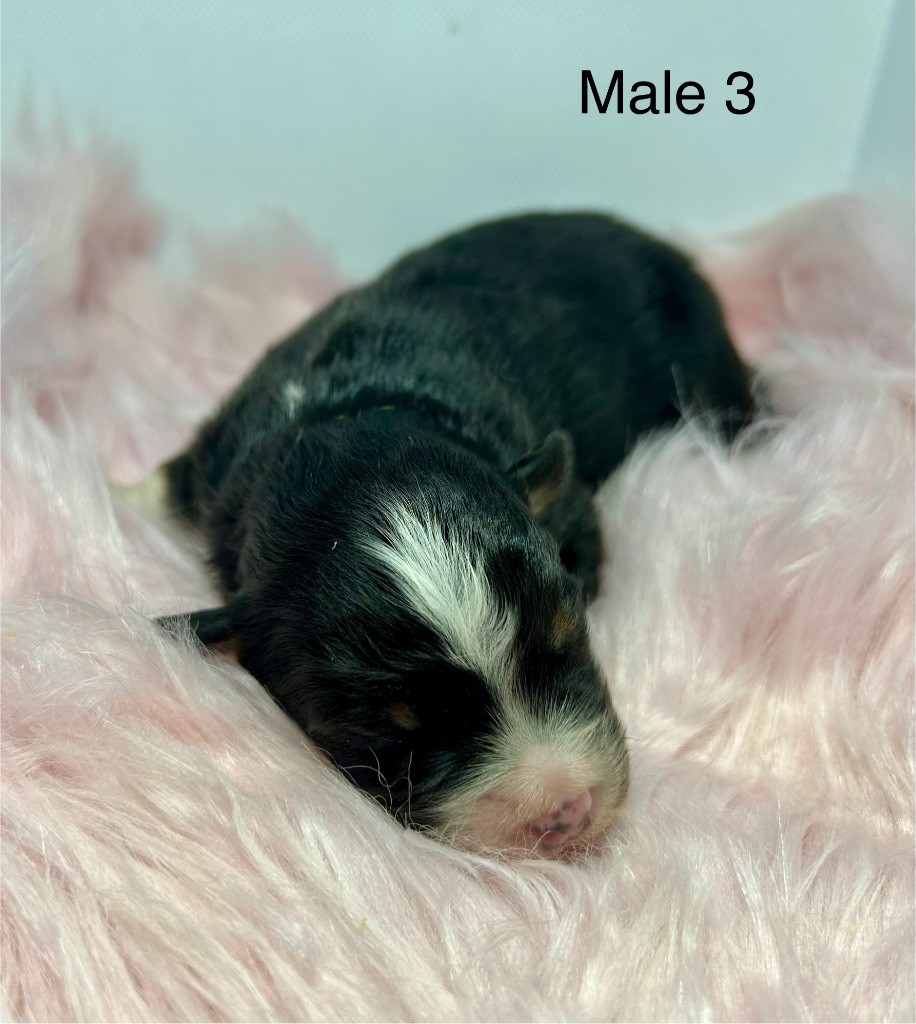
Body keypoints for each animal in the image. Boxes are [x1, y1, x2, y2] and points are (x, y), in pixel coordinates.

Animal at [151, 211, 754, 857]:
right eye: (395, 736)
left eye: (569, 639)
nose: (567, 810)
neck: (343, 419)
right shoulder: (217, 458)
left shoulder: (569, 501)